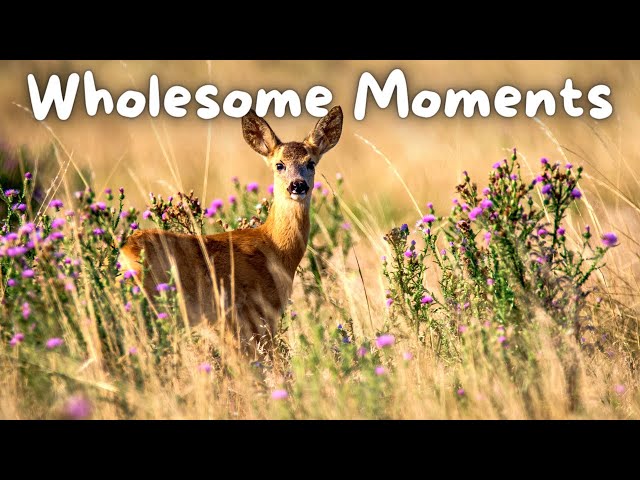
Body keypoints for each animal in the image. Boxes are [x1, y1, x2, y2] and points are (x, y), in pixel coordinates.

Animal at [118, 106, 343, 354]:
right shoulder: (255, 313)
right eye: (279, 164)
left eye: (311, 163)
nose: (298, 185)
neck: (275, 248)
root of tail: (125, 251)